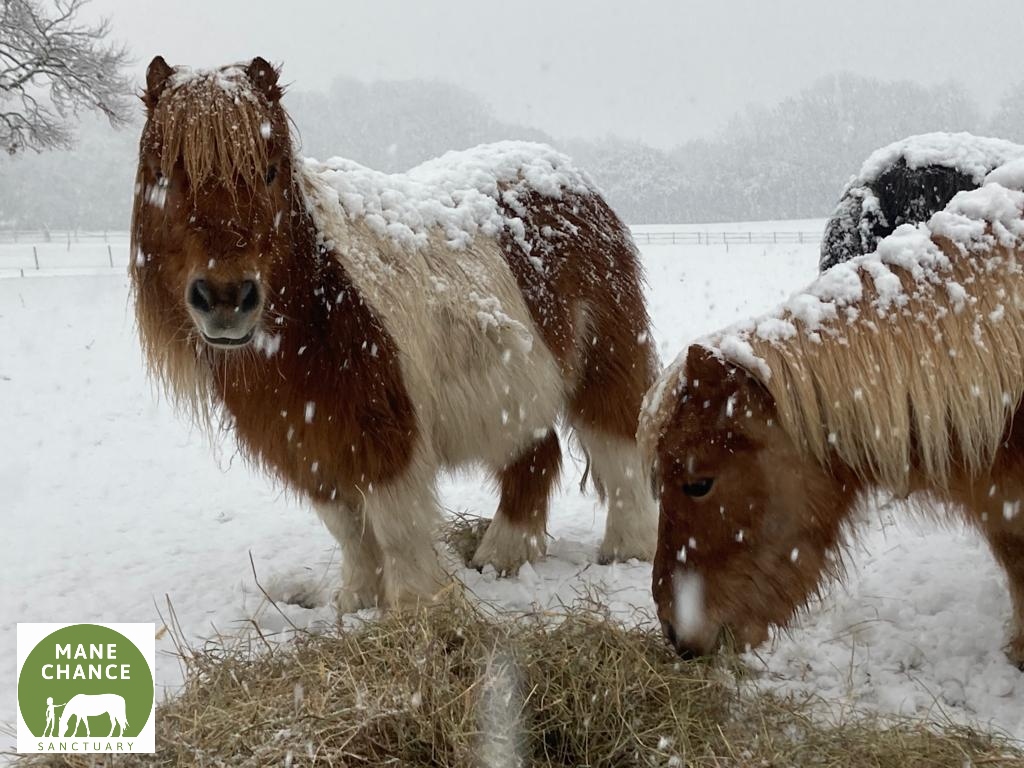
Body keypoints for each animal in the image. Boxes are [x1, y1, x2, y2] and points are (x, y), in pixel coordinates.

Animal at [130, 57, 658, 611]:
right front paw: (356, 604)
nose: (226, 298)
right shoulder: (308, 446)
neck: (321, 307)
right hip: (514, 393)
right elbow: (349, 531)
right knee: (537, 455)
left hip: (604, 359)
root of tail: (567, 176)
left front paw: (417, 609)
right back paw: (502, 555)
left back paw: (626, 551)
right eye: (161, 175)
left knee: (617, 446)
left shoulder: (385, 437)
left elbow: (397, 530)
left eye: (269, 171)